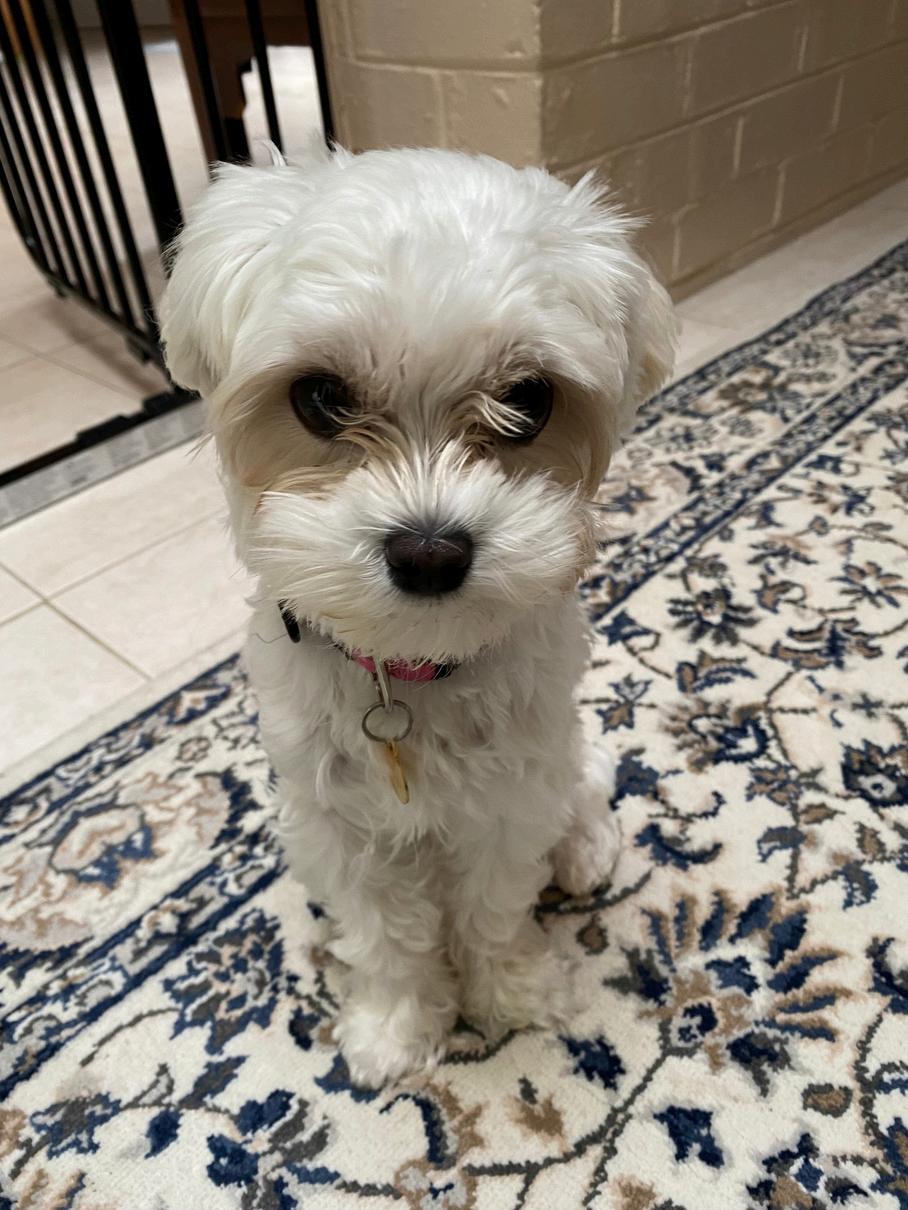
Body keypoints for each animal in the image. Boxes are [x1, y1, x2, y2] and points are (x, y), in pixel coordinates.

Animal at [161, 142, 676, 1088]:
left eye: (530, 399)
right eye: (321, 397)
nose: (430, 551)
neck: (411, 671)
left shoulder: (509, 800)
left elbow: (492, 909)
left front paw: (511, 995)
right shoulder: (338, 819)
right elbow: (387, 936)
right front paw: (397, 1031)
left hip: (561, 754)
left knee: (585, 785)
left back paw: (586, 848)